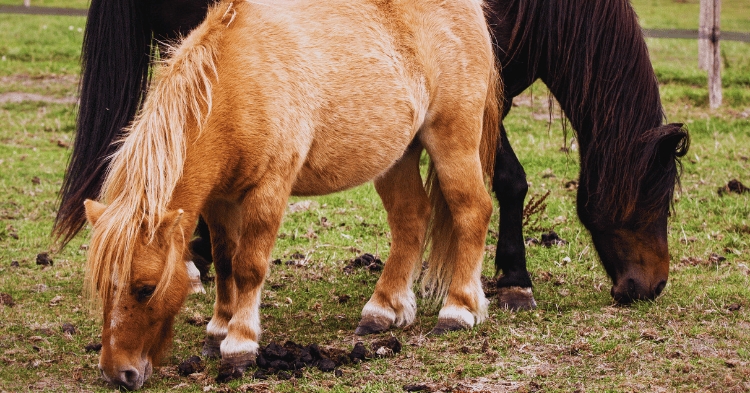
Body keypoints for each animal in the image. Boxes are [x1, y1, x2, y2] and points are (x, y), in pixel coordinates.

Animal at [83, 0, 500, 388]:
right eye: (102, 286)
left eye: (146, 288)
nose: (117, 373)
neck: (235, 82)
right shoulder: (219, 200)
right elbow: (224, 262)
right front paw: (217, 330)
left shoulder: (270, 188)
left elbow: (249, 266)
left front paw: (239, 344)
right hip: (397, 156)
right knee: (411, 218)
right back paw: (383, 309)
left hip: (452, 139)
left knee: (472, 211)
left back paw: (458, 309)